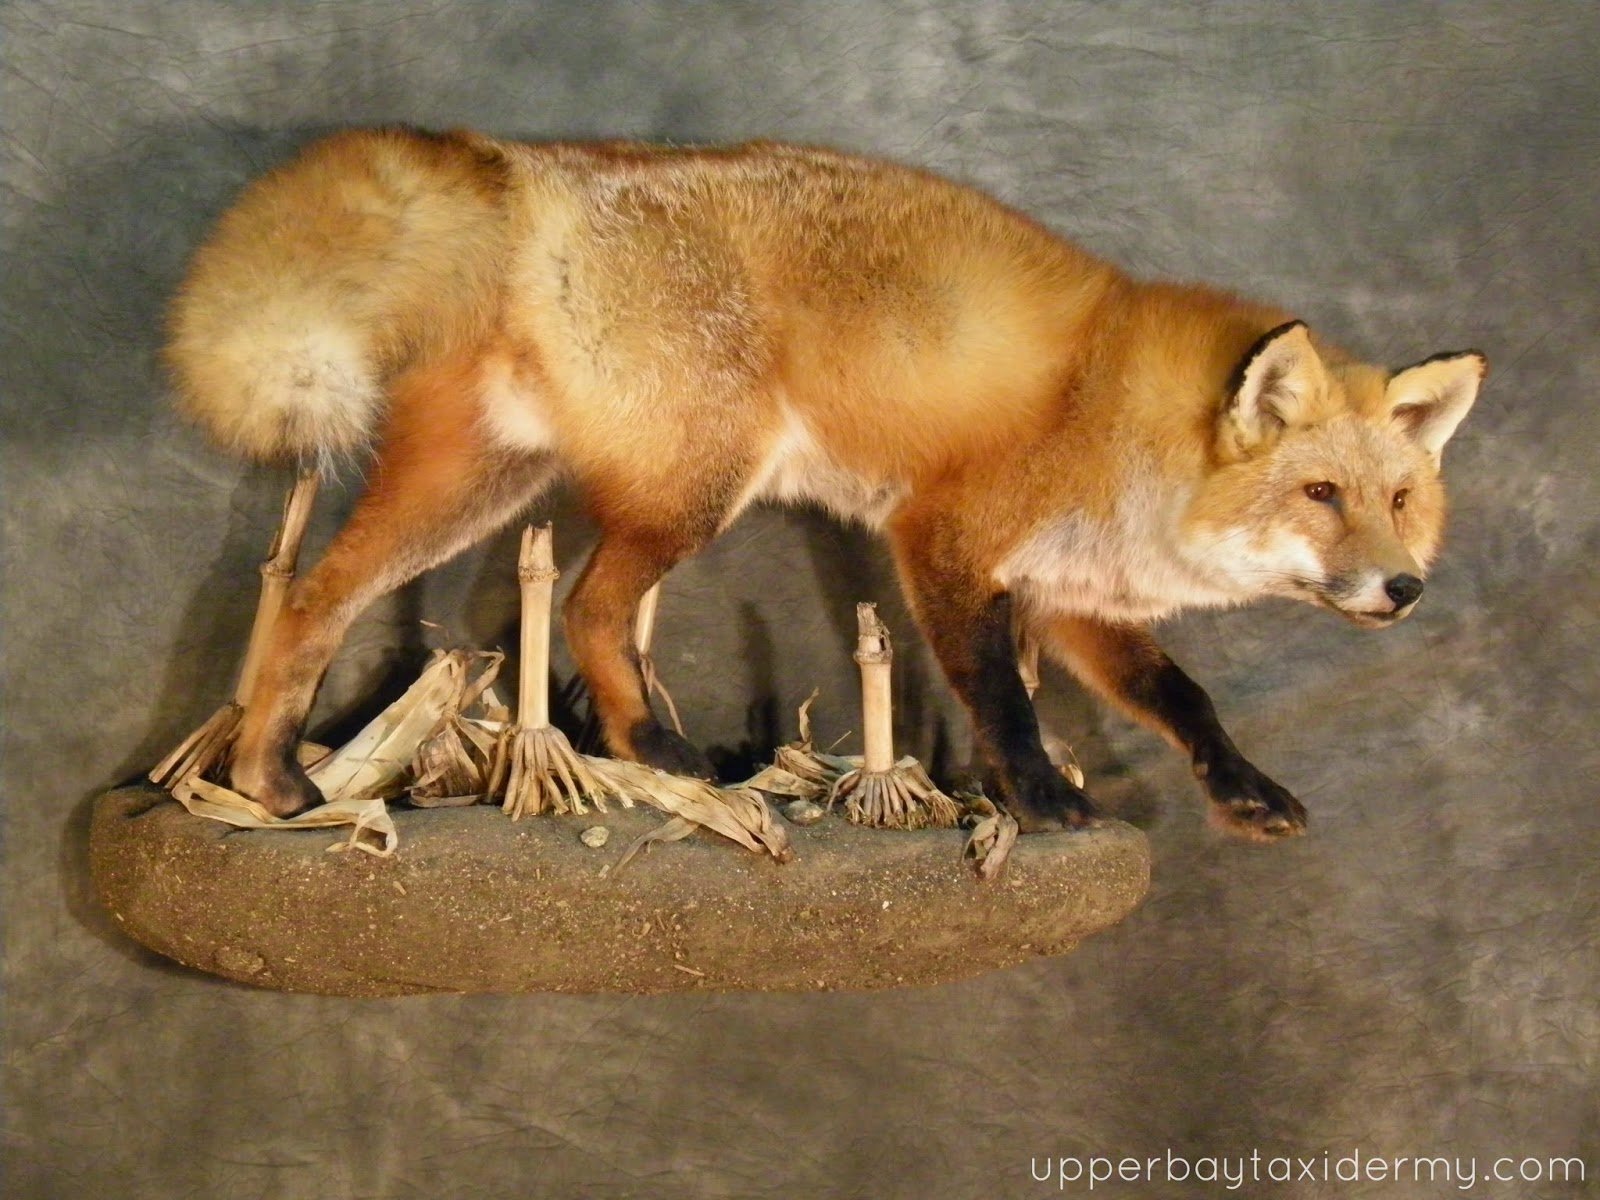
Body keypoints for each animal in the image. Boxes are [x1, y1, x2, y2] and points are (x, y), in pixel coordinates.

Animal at [168, 124, 1478, 838]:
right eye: (1319, 496)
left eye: (1397, 502)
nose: (1405, 589)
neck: (1123, 431)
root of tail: (540, 166)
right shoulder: (945, 539)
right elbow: (996, 693)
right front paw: (1042, 803)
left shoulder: (1074, 600)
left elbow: (1186, 698)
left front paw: (1243, 793)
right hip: (702, 481)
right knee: (588, 604)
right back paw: (657, 749)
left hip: (482, 484)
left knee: (313, 597)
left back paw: (269, 780)